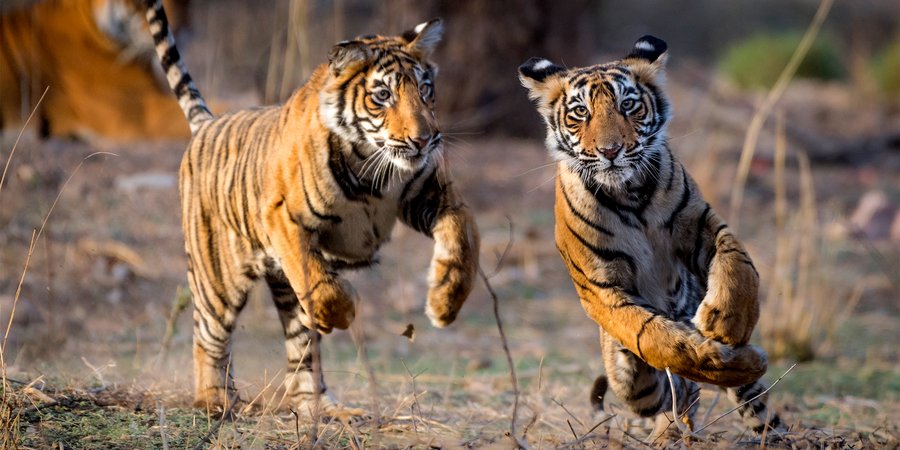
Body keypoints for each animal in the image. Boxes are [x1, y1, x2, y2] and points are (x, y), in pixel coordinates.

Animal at [142, 0, 479, 419]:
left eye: (425, 89)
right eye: (383, 95)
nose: (424, 139)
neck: (372, 168)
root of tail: (207, 123)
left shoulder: (432, 194)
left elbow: (464, 237)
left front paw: (444, 301)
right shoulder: (284, 217)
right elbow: (322, 286)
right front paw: (346, 308)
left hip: (278, 288)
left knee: (301, 350)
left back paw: (324, 409)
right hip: (216, 276)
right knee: (210, 336)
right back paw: (215, 401)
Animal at [519, 36, 783, 437]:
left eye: (627, 105)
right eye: (580, 112)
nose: (610, 151)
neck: (629, 195)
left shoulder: (701, 224)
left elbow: (737, 262)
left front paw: (727, 322)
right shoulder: (601, 287)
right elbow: (651, 335)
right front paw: (709, 357)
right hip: (626, 377)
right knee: (654, 390)